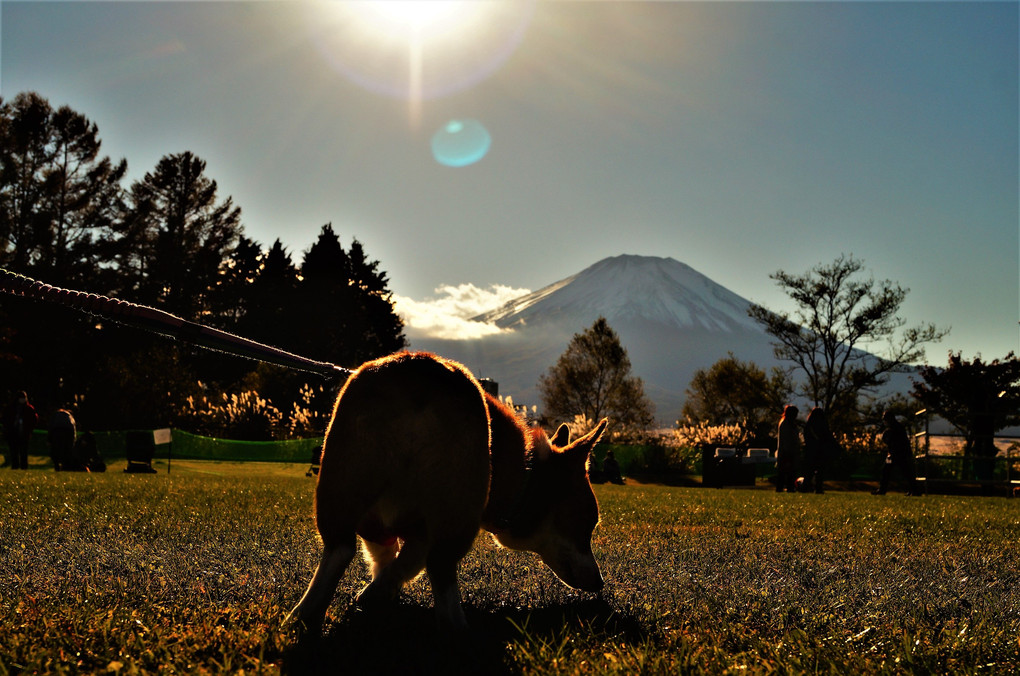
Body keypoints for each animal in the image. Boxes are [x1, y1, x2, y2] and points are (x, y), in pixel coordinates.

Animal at [283, 350, 607, 632]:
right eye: (587, 524)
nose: (600, 583)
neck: (523, 471)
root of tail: (418, 372)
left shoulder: (385, 525)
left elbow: (391, 559)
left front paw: (379, 593)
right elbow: (408, 563)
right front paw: (378, 593)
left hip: (340, 488)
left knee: (340, 549)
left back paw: (303, 616)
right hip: (458, 517)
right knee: (441, 568)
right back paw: (458, 628)